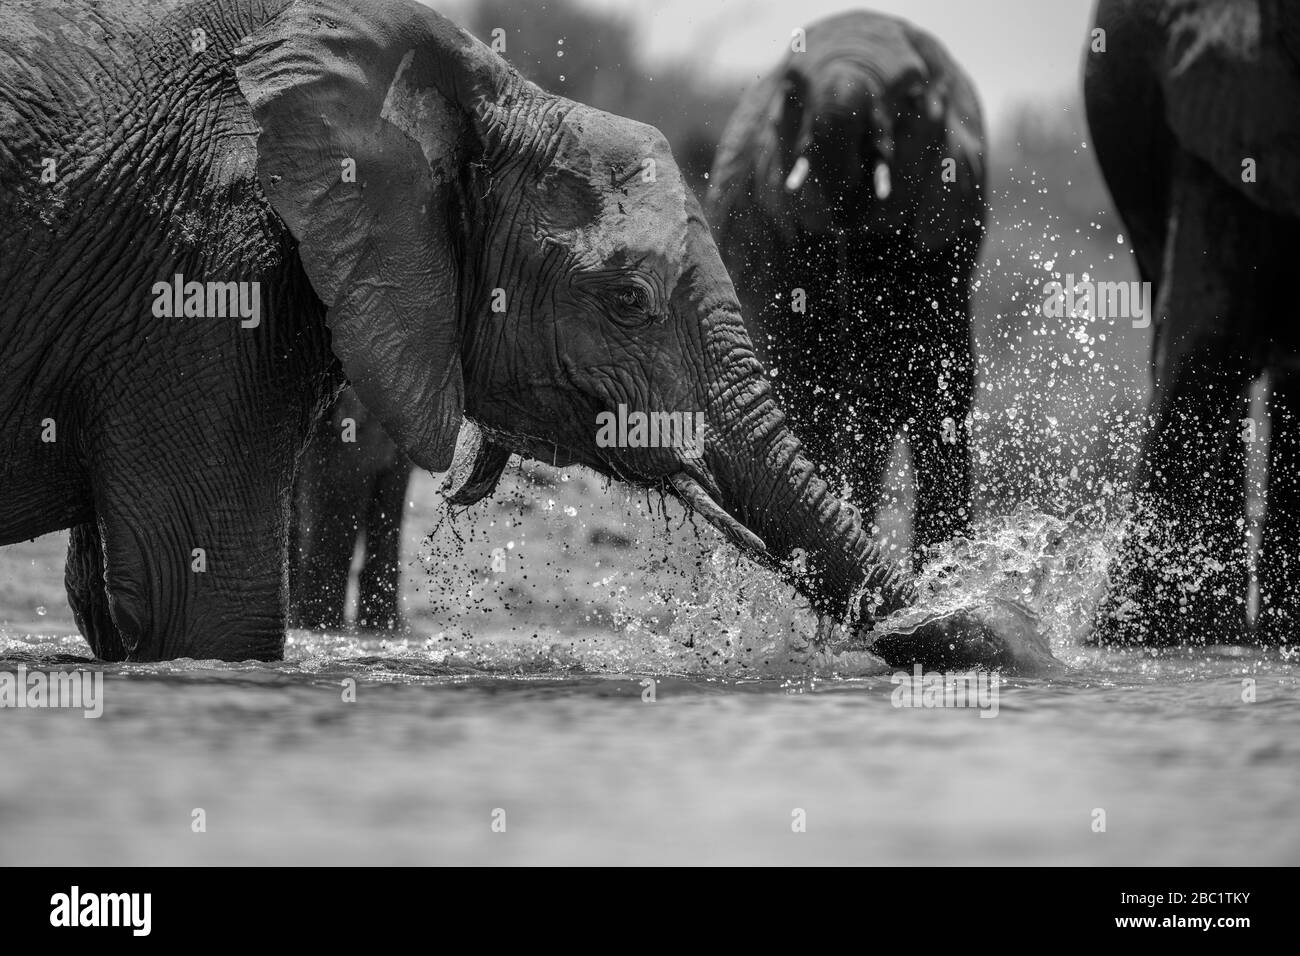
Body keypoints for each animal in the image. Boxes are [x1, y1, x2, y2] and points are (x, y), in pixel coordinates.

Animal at [705, 10, 987, 566]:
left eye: (913, 97)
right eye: (792, 91)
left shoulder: (946, 239)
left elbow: (926, 386)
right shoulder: (766, 233)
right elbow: (802, 376)